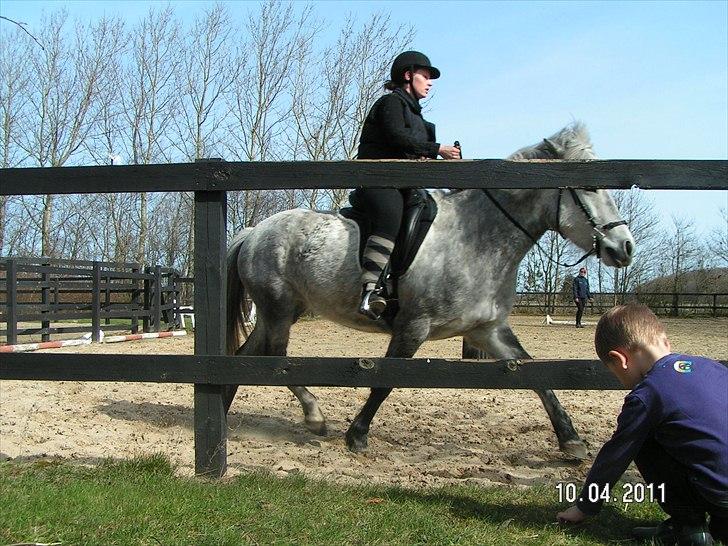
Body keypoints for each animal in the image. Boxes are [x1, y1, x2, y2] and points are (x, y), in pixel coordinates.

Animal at [225, 121, 636, 456]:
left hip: (283, 309)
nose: (625, 247)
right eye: (591, 186)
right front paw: (357, 435)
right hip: (278, 305)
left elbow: (535, 376)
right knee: (276, 358)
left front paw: (571, 439)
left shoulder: (487, 330)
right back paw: (314, 415)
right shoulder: (413, 326)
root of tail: (255, 231)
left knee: (247, 356)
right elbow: (384, 381)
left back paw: (226, 408)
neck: (476, 239)